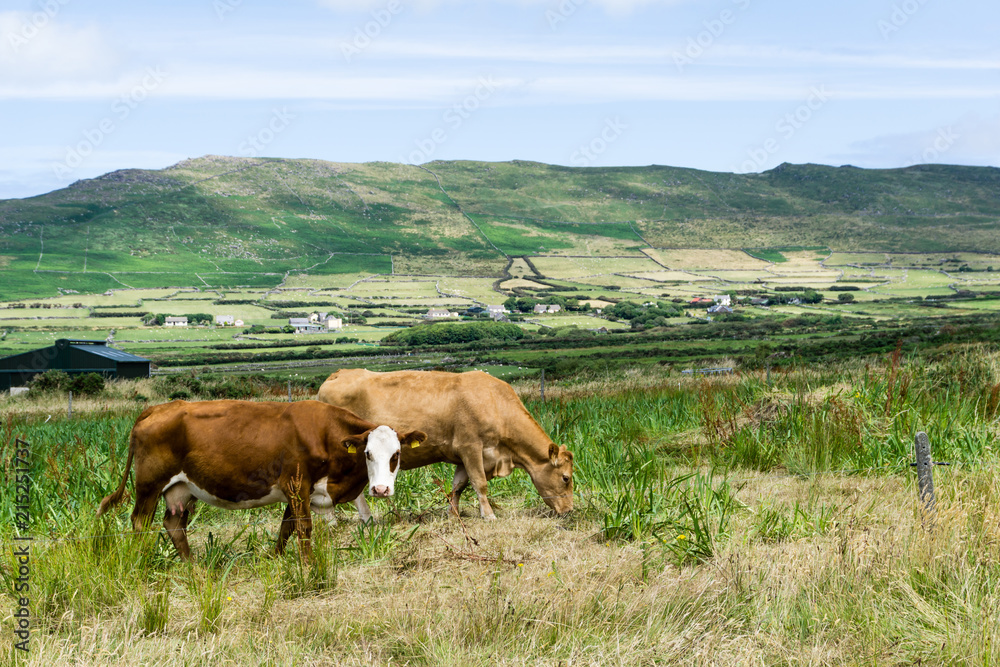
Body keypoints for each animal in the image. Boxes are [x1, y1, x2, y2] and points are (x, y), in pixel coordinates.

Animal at [99, 400, 428, 560]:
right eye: (368, 453)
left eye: (396, 454)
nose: (381, 489)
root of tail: (158, 407)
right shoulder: (296, 483)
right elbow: (304, 527)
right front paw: (309, 567)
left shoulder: (298, 491)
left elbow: (286, 528)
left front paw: (276, 559)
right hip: (149, 485)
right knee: (140, 523)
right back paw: (141, 562)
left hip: (182, 489)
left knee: (173, 524)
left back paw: (192, 567)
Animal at [316, 370, 576, 520]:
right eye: (566, 478)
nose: (570, 510)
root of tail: (338, 373)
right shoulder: (471, 447)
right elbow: (480, 483)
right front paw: (489, 515)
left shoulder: (462, 455)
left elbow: (458, 486)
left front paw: (453, 514)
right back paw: (363, 519)